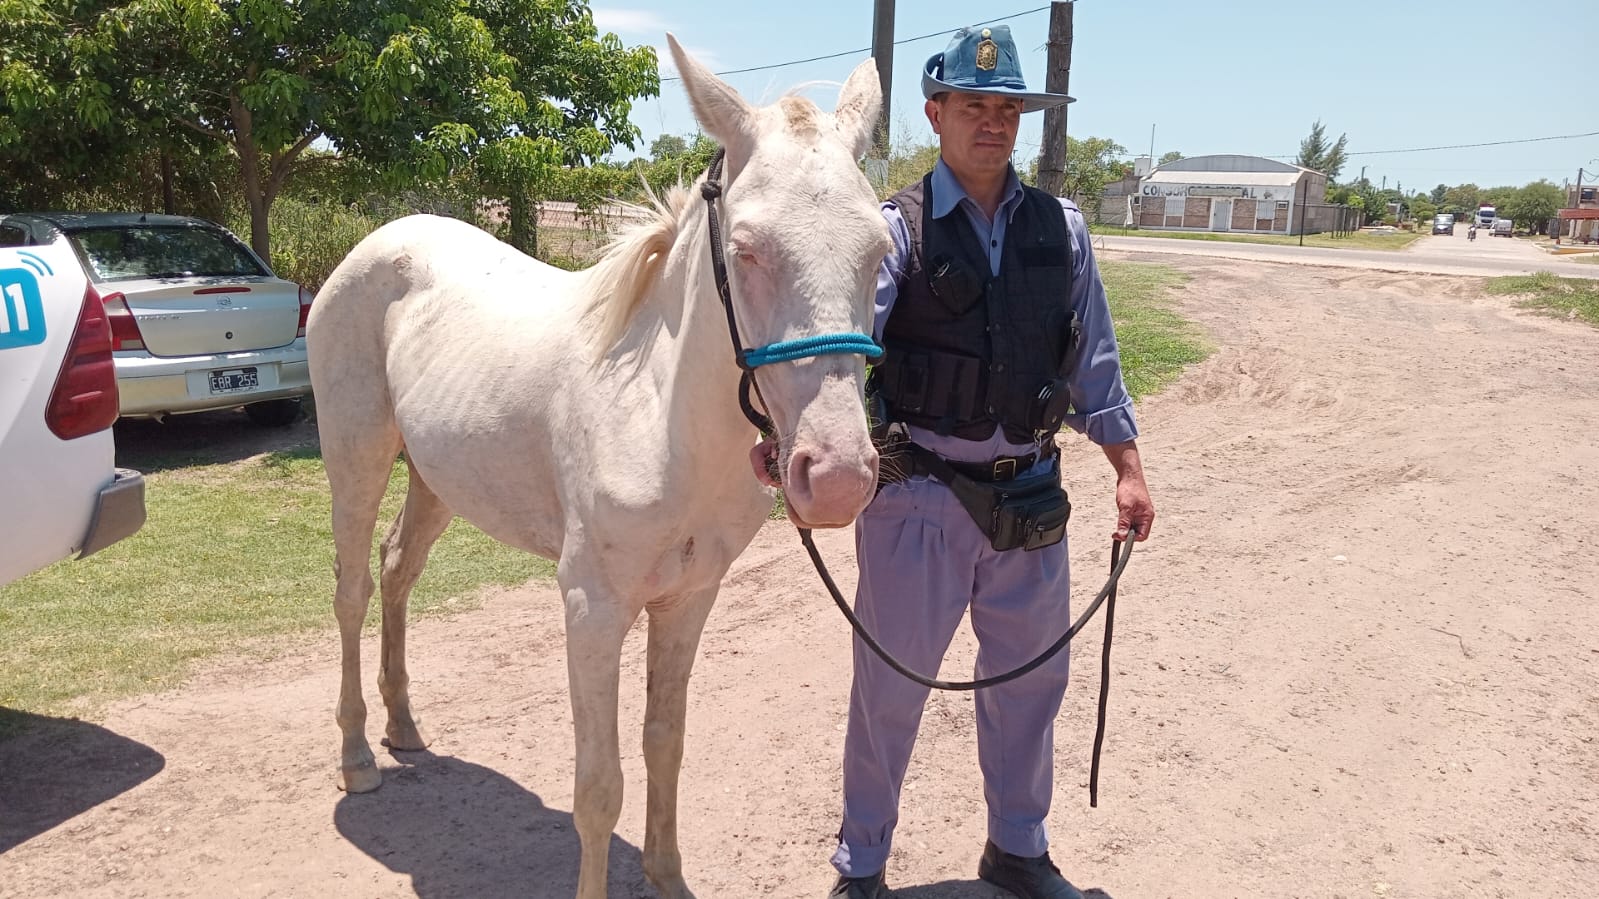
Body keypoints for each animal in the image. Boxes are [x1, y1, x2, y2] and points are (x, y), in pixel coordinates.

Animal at [307, 34, 895, 895]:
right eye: (746, 248)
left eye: (879, 251)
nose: (837, 476)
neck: (654, 412)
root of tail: (379, 242)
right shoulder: (591, 608)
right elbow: (599, 787)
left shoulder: (687, 600)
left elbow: (664, 745)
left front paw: (668, 874)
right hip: (357, 459)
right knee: (350, 590)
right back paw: (356, 755)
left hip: (436, 481)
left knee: (395, 570)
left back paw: (404, 725)